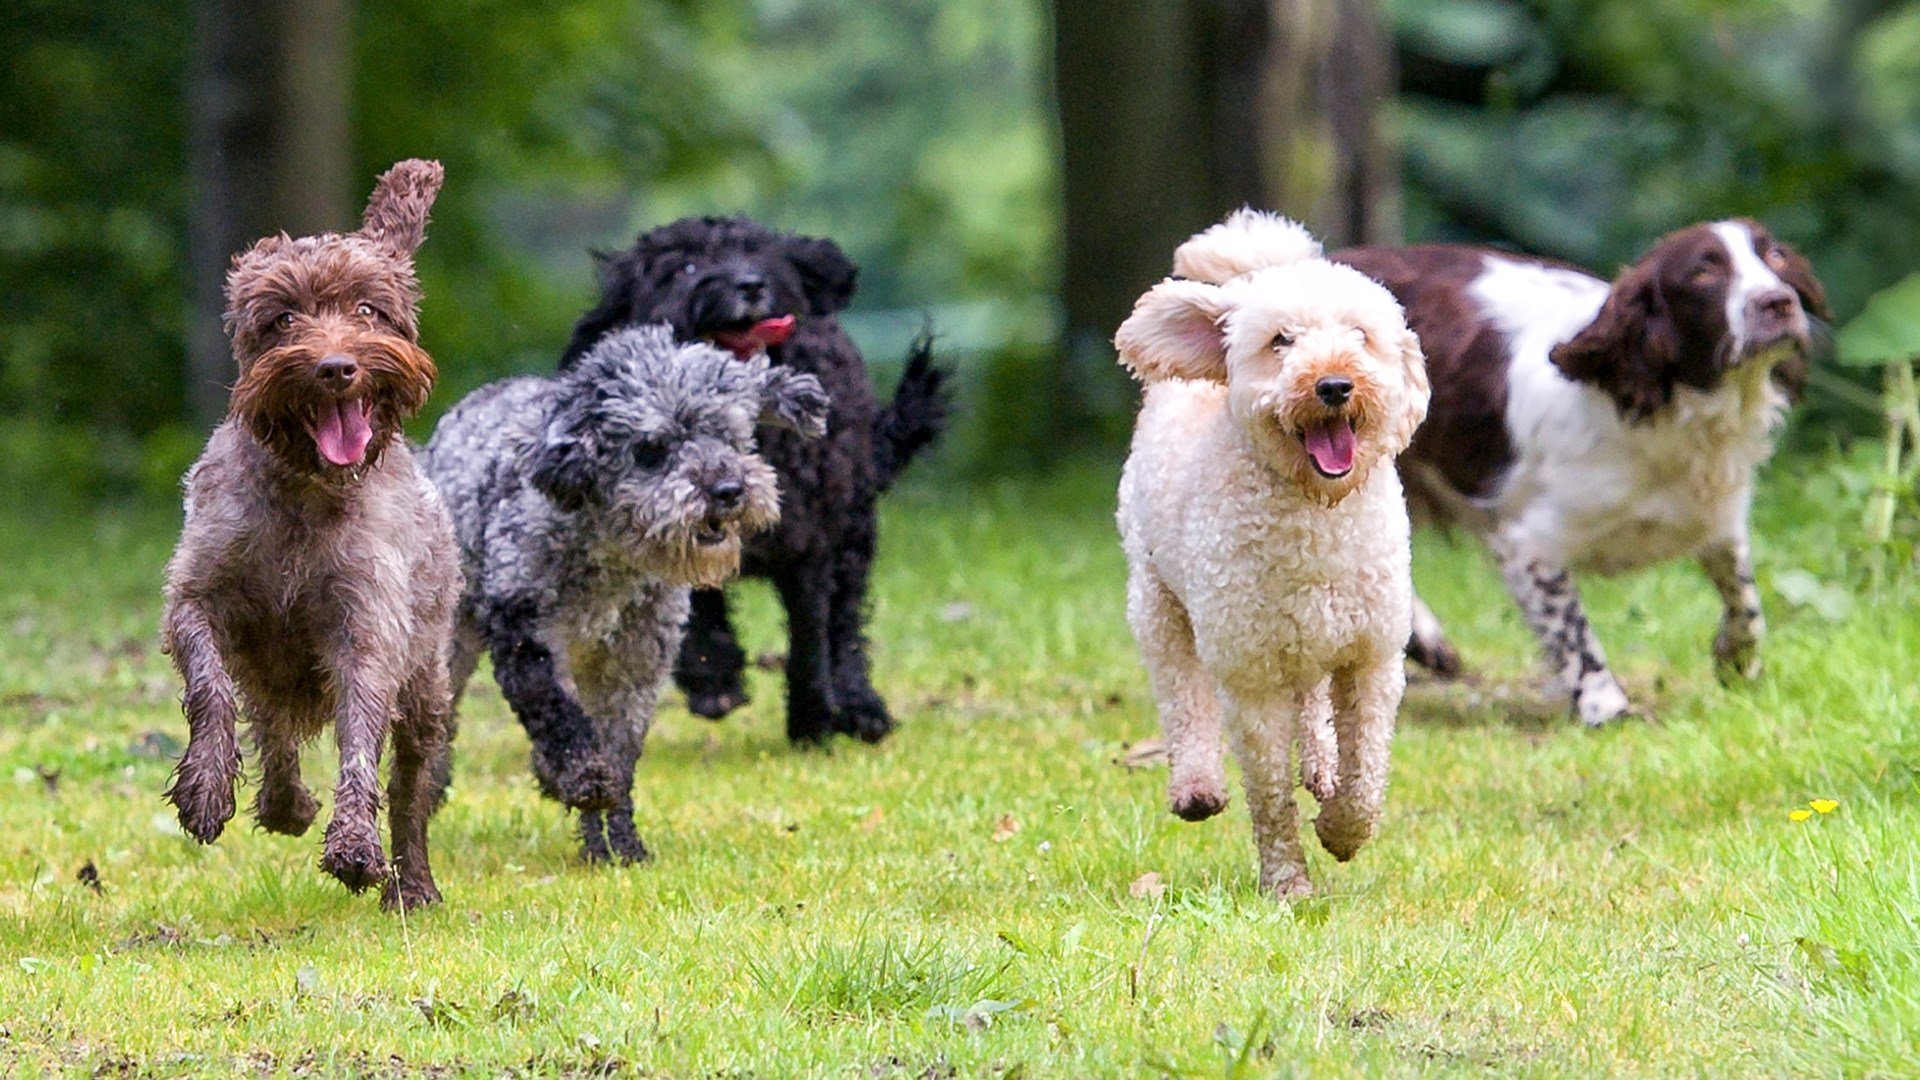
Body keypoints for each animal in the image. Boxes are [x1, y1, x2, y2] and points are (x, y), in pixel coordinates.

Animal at [161, 155, 460, 903]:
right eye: (283, 317)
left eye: (367, 310)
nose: (335, 368)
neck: (306, 490)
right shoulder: (197, 597)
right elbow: (210, 687)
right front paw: (205, 790)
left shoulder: (368, 626)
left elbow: (360, 737)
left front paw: (354, 846)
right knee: (271, 725)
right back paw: (283, 803)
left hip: (428, 687)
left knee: (411, 786)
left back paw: (412, 884)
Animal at [560, 215, 948, 745]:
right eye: (685, 267)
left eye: (761, 257)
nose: (750, 284)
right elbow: (700, 615)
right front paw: (715, 679)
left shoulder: (810, 543)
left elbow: (810, 632)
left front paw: (813, 718)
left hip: (853, 532)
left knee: (844, 625)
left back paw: (860, 707)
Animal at [1113, 208, 1428, 891]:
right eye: (1281, 341)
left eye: (1361, 336)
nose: (1334, 384)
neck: (1315, 510)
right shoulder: (1249, 671)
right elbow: (1268, 793)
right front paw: (1288, 882)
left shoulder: (1371, 655)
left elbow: (1367, 772)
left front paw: (1341, 829)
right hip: (1157, 602)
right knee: (1182, 693)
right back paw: (1198, 786)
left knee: (1311, 701)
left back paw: (1321, 766)